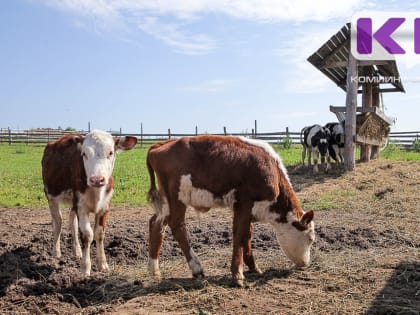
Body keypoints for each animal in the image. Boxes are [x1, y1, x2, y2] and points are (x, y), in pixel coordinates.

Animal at [41, 130, 137, 276]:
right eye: (84, 154)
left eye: (110, 152)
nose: (97, 179)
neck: (96, 192)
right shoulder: (81, 207)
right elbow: (87, 235)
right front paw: (85, 268)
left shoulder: (105, 207)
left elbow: (99, 234)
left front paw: (103, 264)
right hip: (51, 195)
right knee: (58, 222)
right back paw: (56, 251)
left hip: (72, 201)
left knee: (72, 223)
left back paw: (77, 251)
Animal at [146, 135, 314, 288]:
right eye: (311, 239)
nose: (306, 263)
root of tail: (161, 145)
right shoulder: (244, 203)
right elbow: (239, 235)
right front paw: (237, 275)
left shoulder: (246, 210)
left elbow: (247, 235)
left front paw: (253, 267)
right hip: (177, 197)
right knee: (177, 226)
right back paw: (196, 268)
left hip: (166, 202)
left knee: (156, 224)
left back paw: (154, 270)